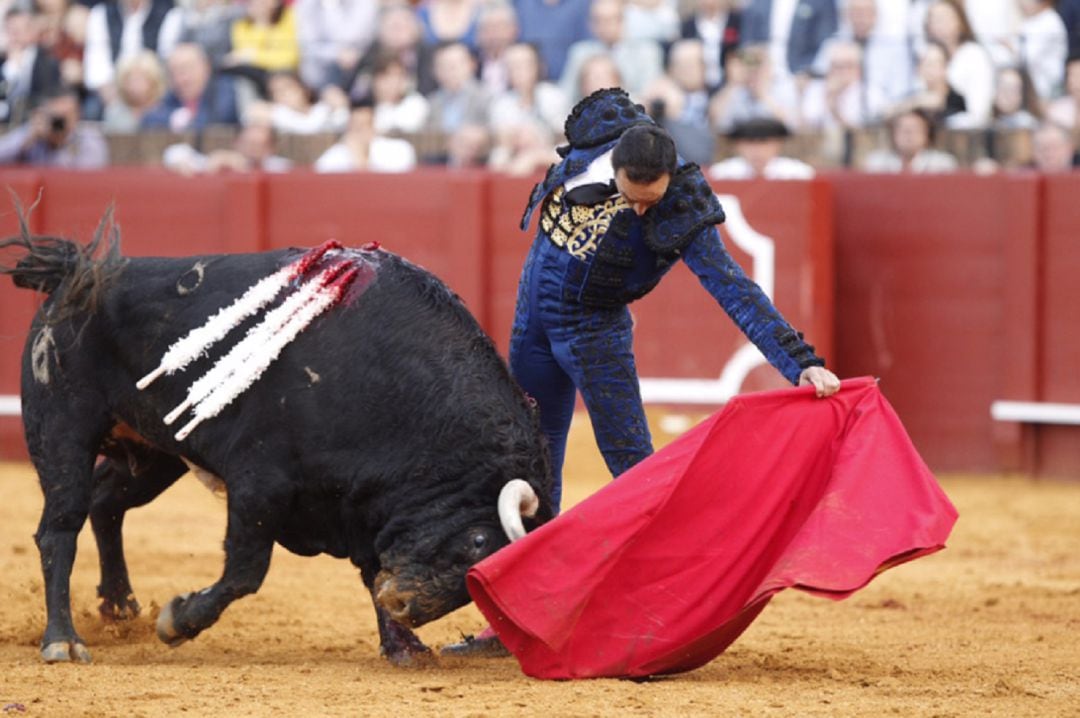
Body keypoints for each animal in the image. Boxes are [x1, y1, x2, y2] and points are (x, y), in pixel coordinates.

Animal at [0, 215, 552, 665]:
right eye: (478, 542)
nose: (406, 605)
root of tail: (76, 275)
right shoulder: (260, 482)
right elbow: (246, 569)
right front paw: (178, 621)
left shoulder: (361, 500)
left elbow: (369, 567)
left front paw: (404, 647)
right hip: (63, 427)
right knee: (61, 525)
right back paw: (63, 640)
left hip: (156, 451)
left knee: (106, 503)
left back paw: (119, 606)